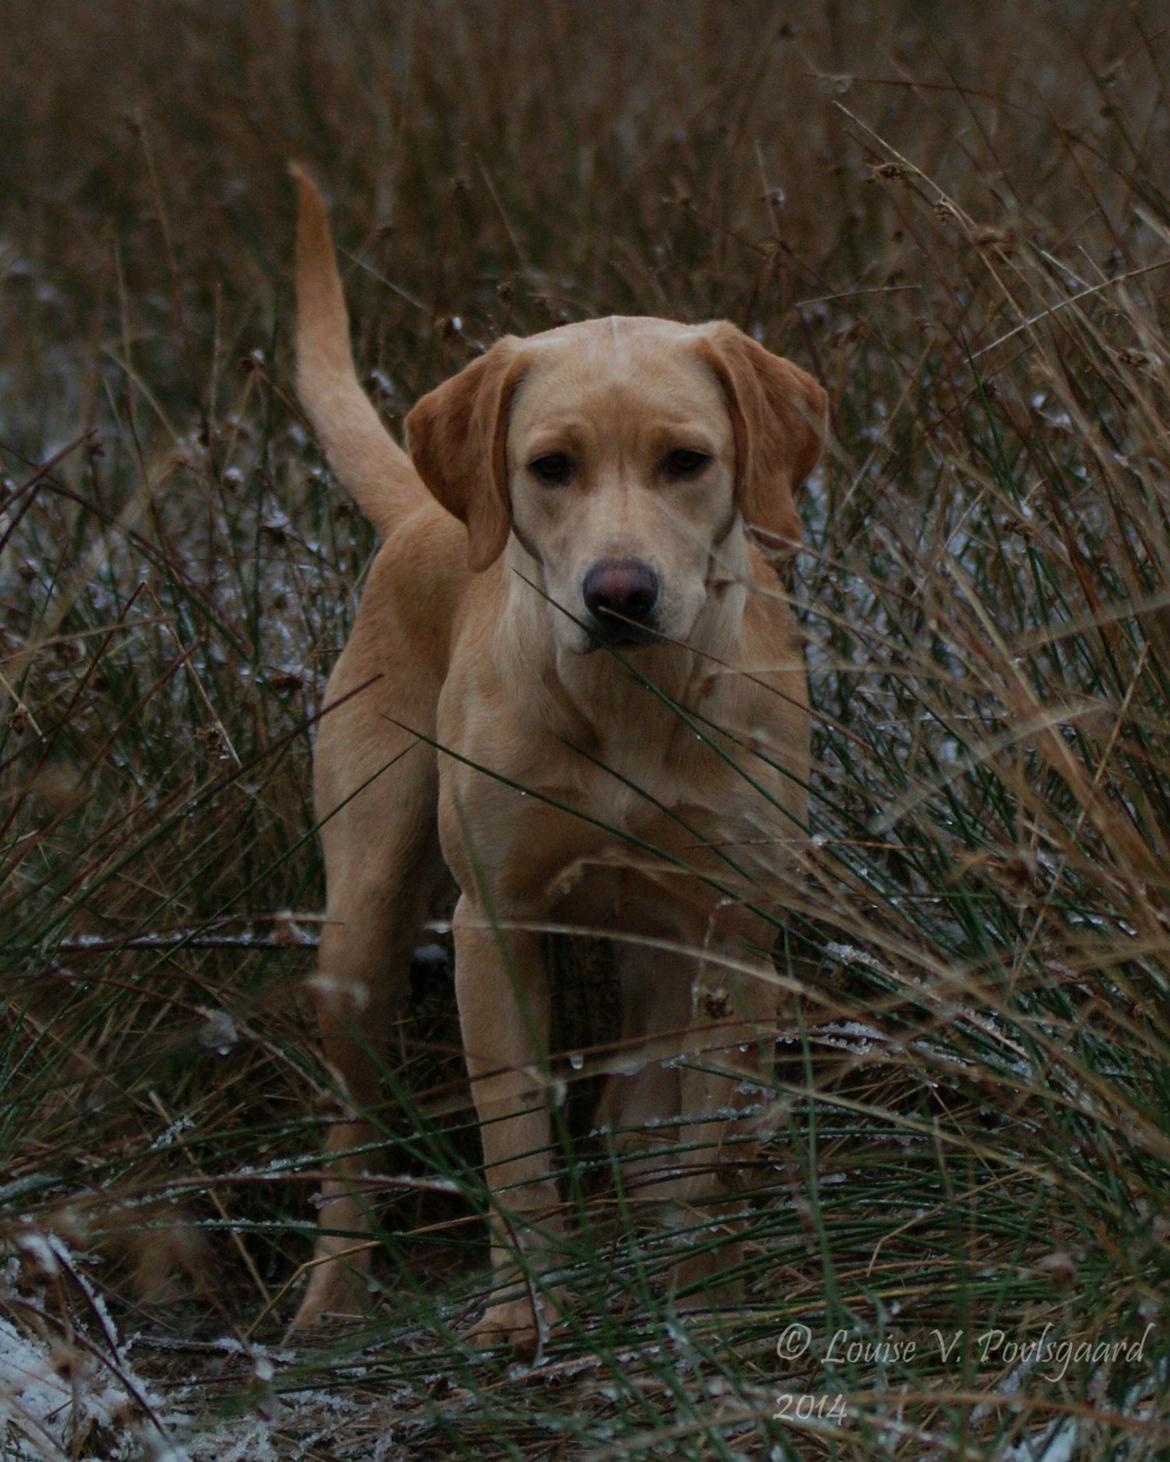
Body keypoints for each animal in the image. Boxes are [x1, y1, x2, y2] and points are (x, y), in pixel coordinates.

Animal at [288, 171, 824, 1356]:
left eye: (687, 461)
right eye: (550, 468)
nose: (619, 594)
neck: (628, 705)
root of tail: (422, 511)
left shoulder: (735, 926)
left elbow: (712, 1138)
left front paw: (700, 1299)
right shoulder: (494, 924)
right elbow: (518, 1139)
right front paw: (524, 1308)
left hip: (659, 945)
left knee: (643, 1112)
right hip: (361, 929)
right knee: (350, 1125)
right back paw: (331, 1293)